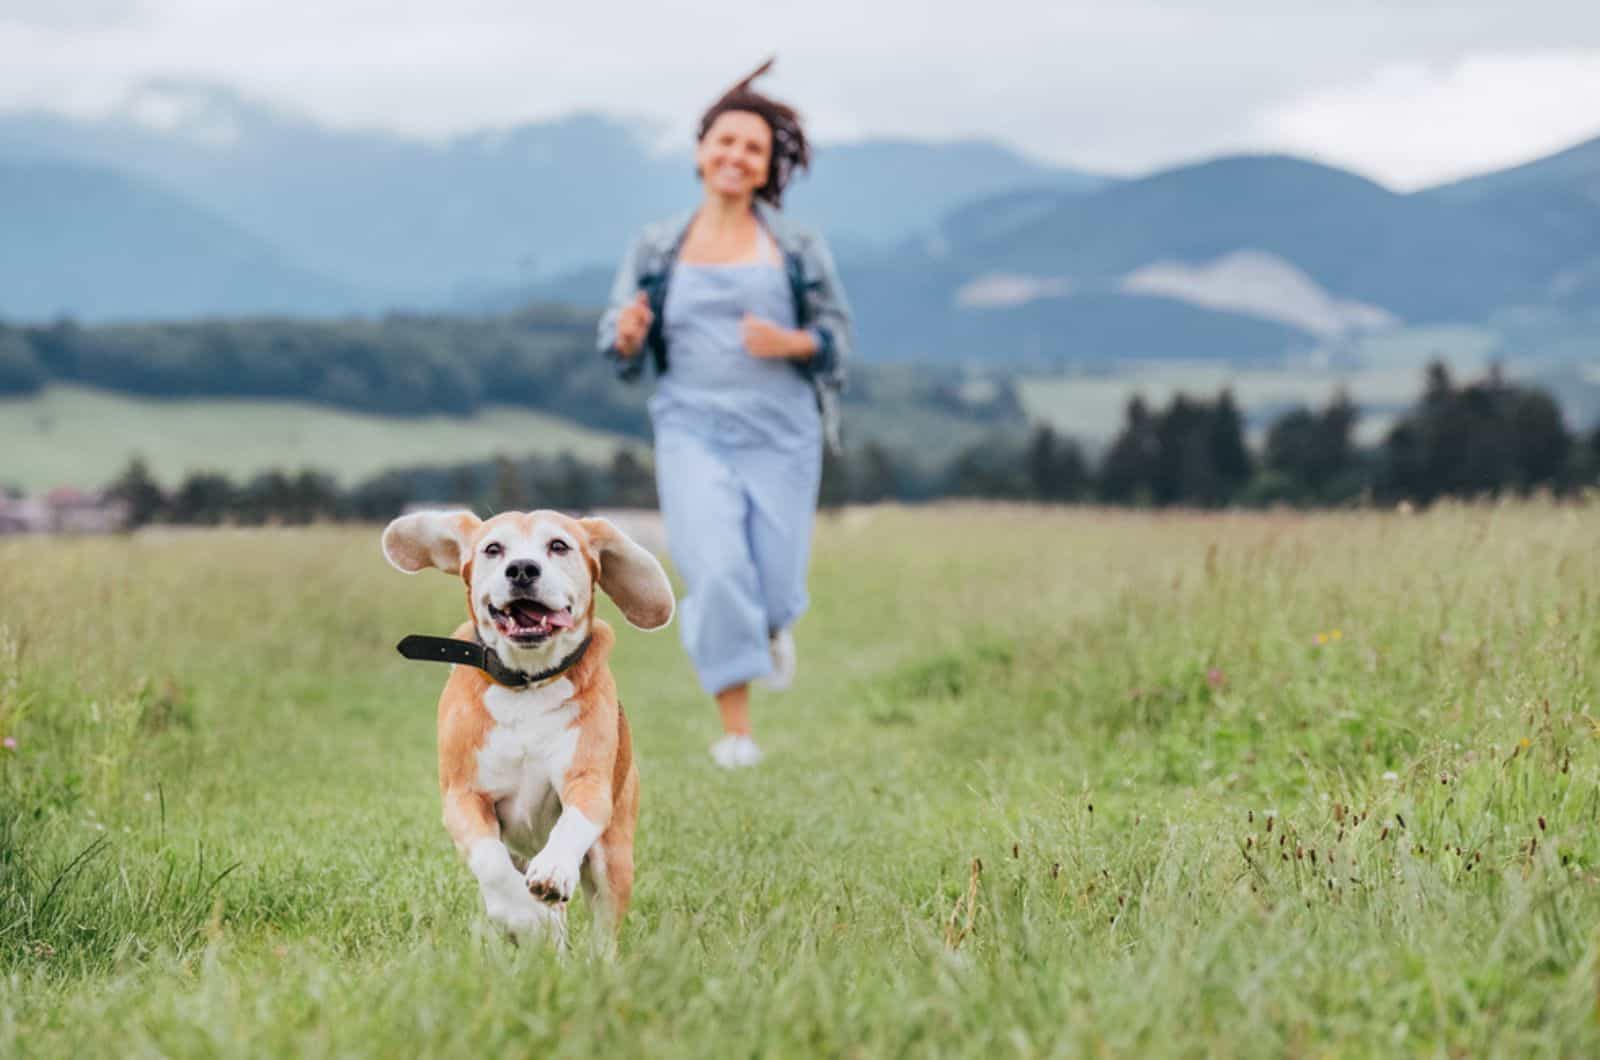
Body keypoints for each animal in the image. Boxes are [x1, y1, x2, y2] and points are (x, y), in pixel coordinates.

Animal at [382, 512, 675, 947]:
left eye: (558, 545)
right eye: (493, 549)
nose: (521, 569)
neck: (527, 683)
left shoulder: (588, 783)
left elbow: (572, 823)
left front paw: (552, 871)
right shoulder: (462, 796)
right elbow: (490, 861)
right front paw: (523, 914)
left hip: (614, 854)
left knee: (604, 929)